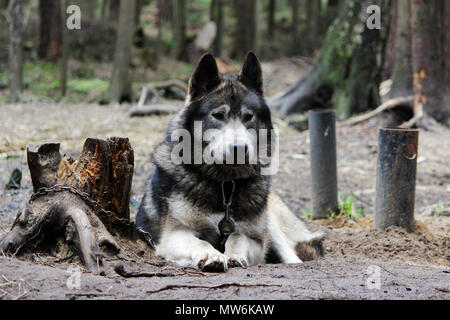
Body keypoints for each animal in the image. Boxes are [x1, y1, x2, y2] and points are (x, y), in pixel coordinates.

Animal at [136, 53, 324, 272]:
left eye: (248, 117)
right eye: (218, 115)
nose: (239, 148)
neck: (225, 186)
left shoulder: (257, 240)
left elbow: (237, 235)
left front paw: (233, 254)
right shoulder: (173, 235)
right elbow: (201, 242)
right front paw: (212, 255)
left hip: (271, 223)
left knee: (290, 253)